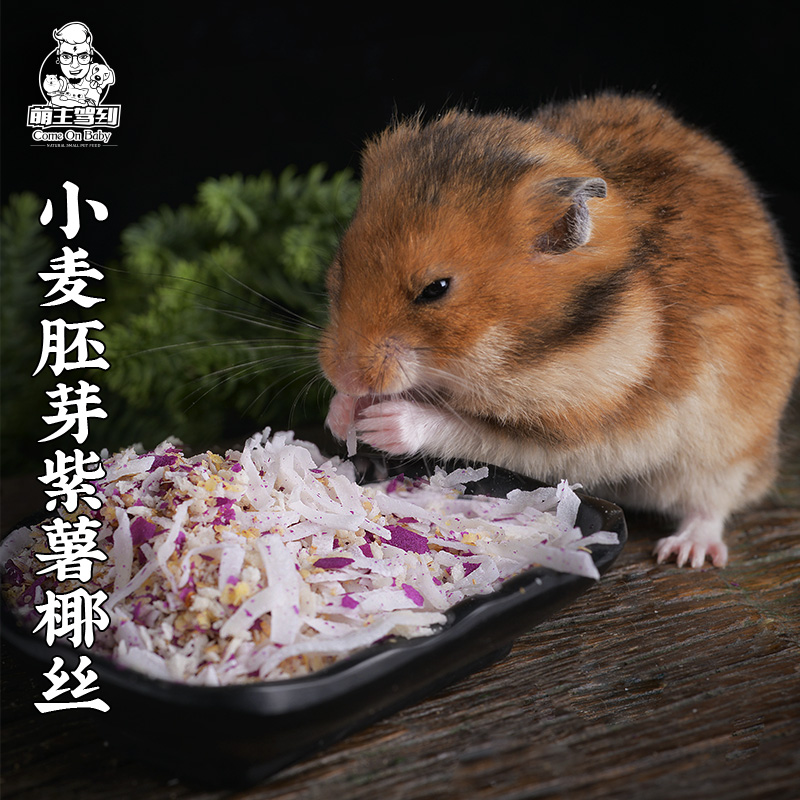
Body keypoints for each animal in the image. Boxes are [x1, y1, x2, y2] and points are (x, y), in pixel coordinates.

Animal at [318, 91, 800, 569]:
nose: (342, 375)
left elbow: (466, 428)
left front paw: (378, 423)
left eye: (435, 289)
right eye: (342, 260)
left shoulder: (575, 436)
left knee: (713, 503)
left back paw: (685, 552)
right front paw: (342, 413)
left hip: (726, 449)